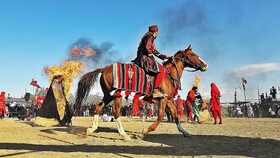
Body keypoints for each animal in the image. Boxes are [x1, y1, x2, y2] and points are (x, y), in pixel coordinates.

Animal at [73, 44, 207, 139]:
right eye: (193, 54)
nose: (205, 65)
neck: (168, 74)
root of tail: (104, 69)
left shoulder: (168, 99)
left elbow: (175, 115)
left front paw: (185, 132)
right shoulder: (162, 99)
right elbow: (160, 116)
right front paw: (144, 132)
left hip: (108, 95)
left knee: (98, 107)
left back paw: (91, 129)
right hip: (116, 95)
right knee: (116, 112)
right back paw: (124, 135)